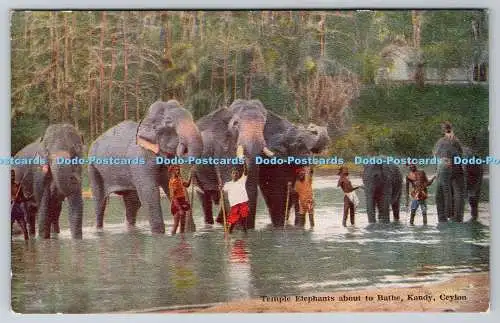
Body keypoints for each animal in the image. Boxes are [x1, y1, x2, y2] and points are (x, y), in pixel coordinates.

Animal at [88, 100, 203, 234]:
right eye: (169, 122)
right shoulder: (140, 159)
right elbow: (149, 193)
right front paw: (158, 234)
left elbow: (173, 188)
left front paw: (191, 231)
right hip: (93, 168)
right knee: (100, 203)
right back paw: (98, 229)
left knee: (132, 203)